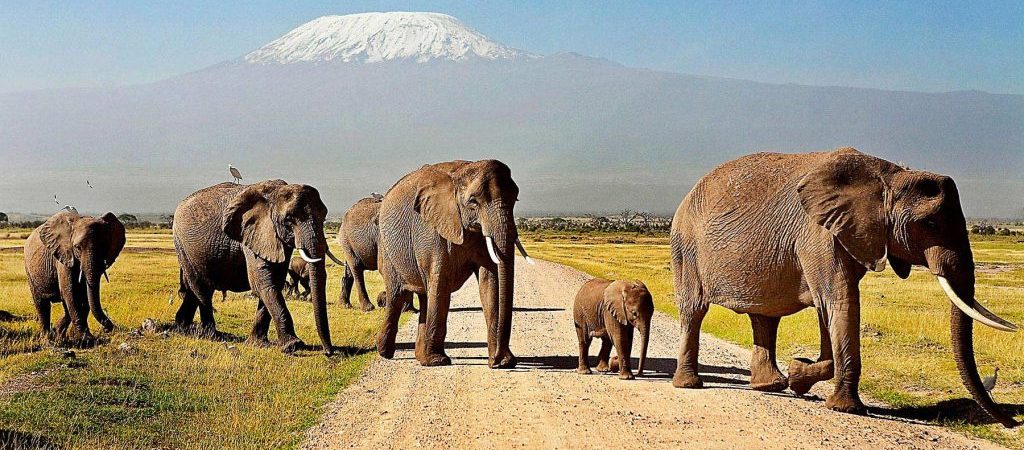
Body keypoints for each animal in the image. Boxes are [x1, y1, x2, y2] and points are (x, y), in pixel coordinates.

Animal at [23, 211, 125, 344]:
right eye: (77, 247)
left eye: (104, 247)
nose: (108, 329)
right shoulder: (64, 256)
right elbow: (71, 293)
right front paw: (86, 339)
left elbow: (84, 296)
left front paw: (73, 335)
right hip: (29, 269)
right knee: (41, 303)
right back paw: (47, 339)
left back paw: (58, 334)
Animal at [169, 180, 342, 356]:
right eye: (288, 219)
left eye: (324, 217)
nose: (328, 352)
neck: (275, 193)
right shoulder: (251, 234)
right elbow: (262, 283)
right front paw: (293, 345)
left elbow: (274, 282)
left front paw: (258, 343)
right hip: (183, 246)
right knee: (201, 289)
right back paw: (212, 335)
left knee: (196, 290)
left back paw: (184, 328)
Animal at [378, 159, 536, 369]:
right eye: (473, 201)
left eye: (515, 199)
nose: (496, 361)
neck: (461, 173)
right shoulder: (431, 230)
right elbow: (441, 282)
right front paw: (438, 362)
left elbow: (490, 281)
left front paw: (504, 362)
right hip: (388, 249)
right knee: (397, 296)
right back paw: (386, 353)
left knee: (425, 296)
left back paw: (420, 357)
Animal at [667, 149, 1019, 428]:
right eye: (930, 224)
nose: (1012, 423)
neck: (890, 176)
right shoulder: (818, 235)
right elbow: (839, 302)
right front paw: (842, 405)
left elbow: (832, 308)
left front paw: (799, 376)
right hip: (685, 247)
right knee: (694, 311)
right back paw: (690, 385)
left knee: (764, 318)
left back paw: (771, 386)